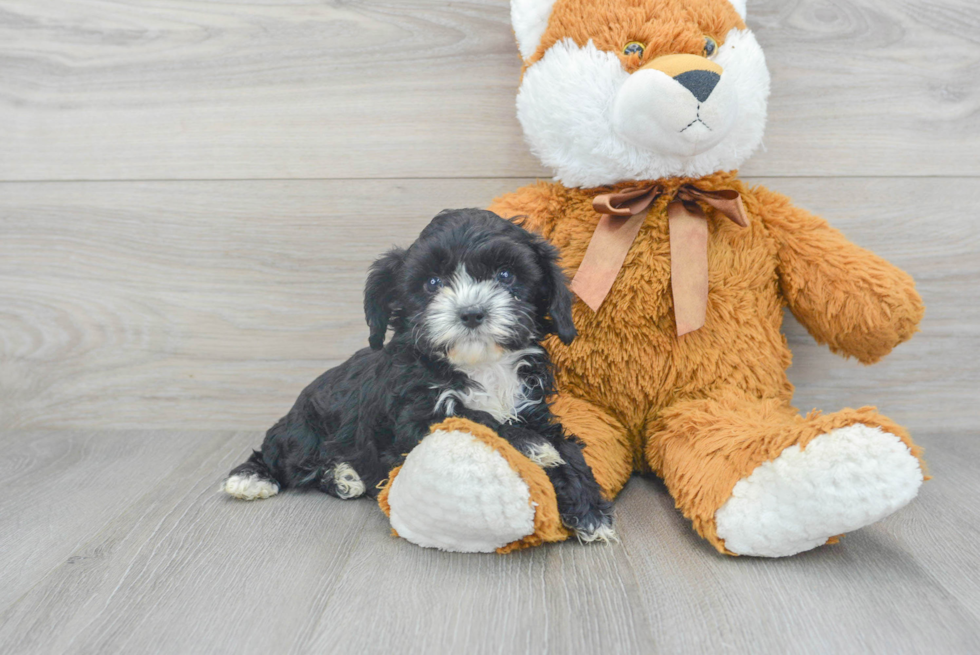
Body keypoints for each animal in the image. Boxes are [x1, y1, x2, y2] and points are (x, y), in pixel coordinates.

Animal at [226, 209, 616, 544]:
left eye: (505, 276)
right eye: (432, 282)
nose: (471, 312)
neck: (480, 366)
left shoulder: (533, 407)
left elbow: (567, 447)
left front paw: (590, 510)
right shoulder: (414, 418)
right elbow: (476, 418)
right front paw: (532, 445)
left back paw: (343, 476)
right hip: (304, 430)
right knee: (282, 457)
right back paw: (262, 477)